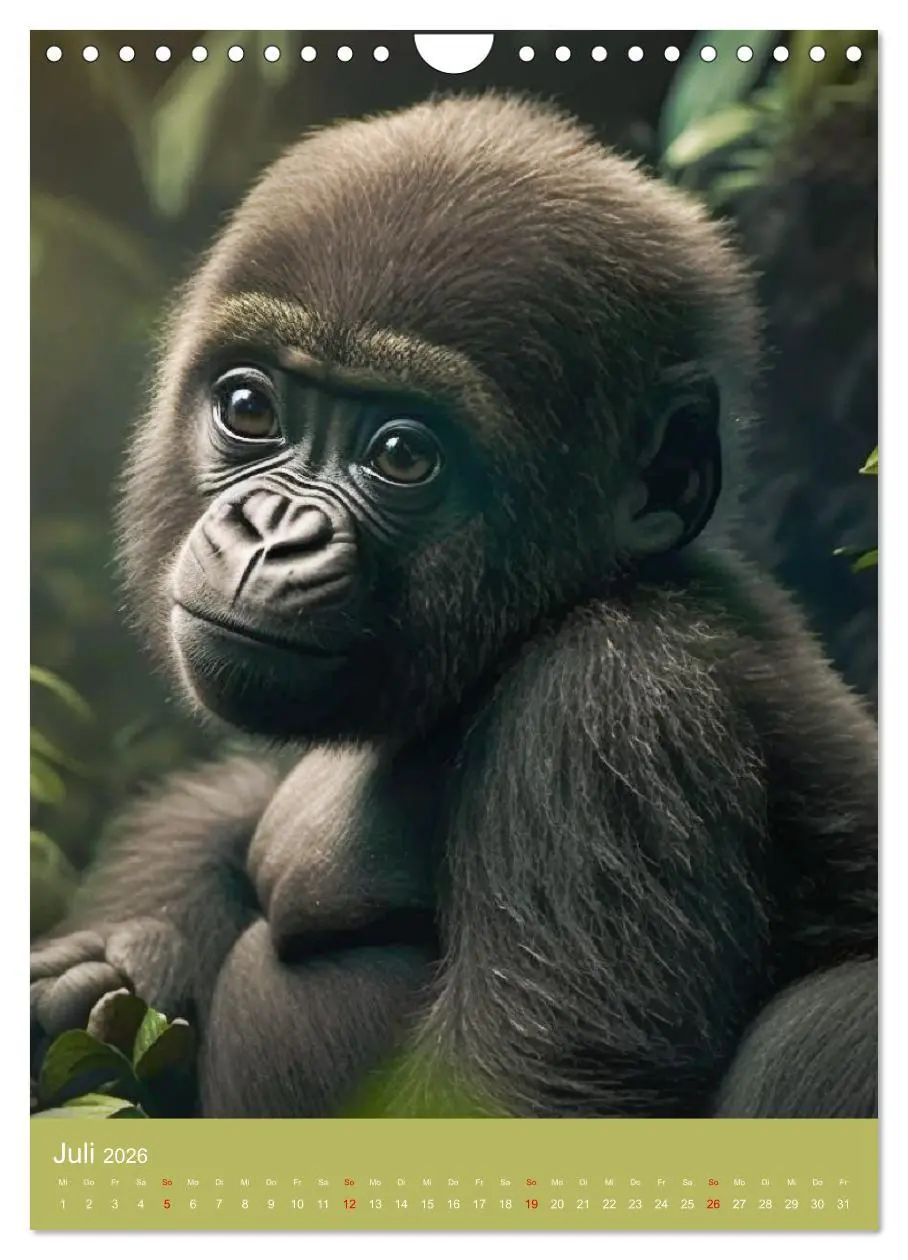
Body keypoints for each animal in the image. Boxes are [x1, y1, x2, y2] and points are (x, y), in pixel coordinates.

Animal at [30, 93, 877, 1120]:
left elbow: (505, 1098)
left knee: (827, 1023)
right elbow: (222, 810)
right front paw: (97, 977)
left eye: (401, 455)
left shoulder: (611, 703)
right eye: (249, 407)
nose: (271, 533)